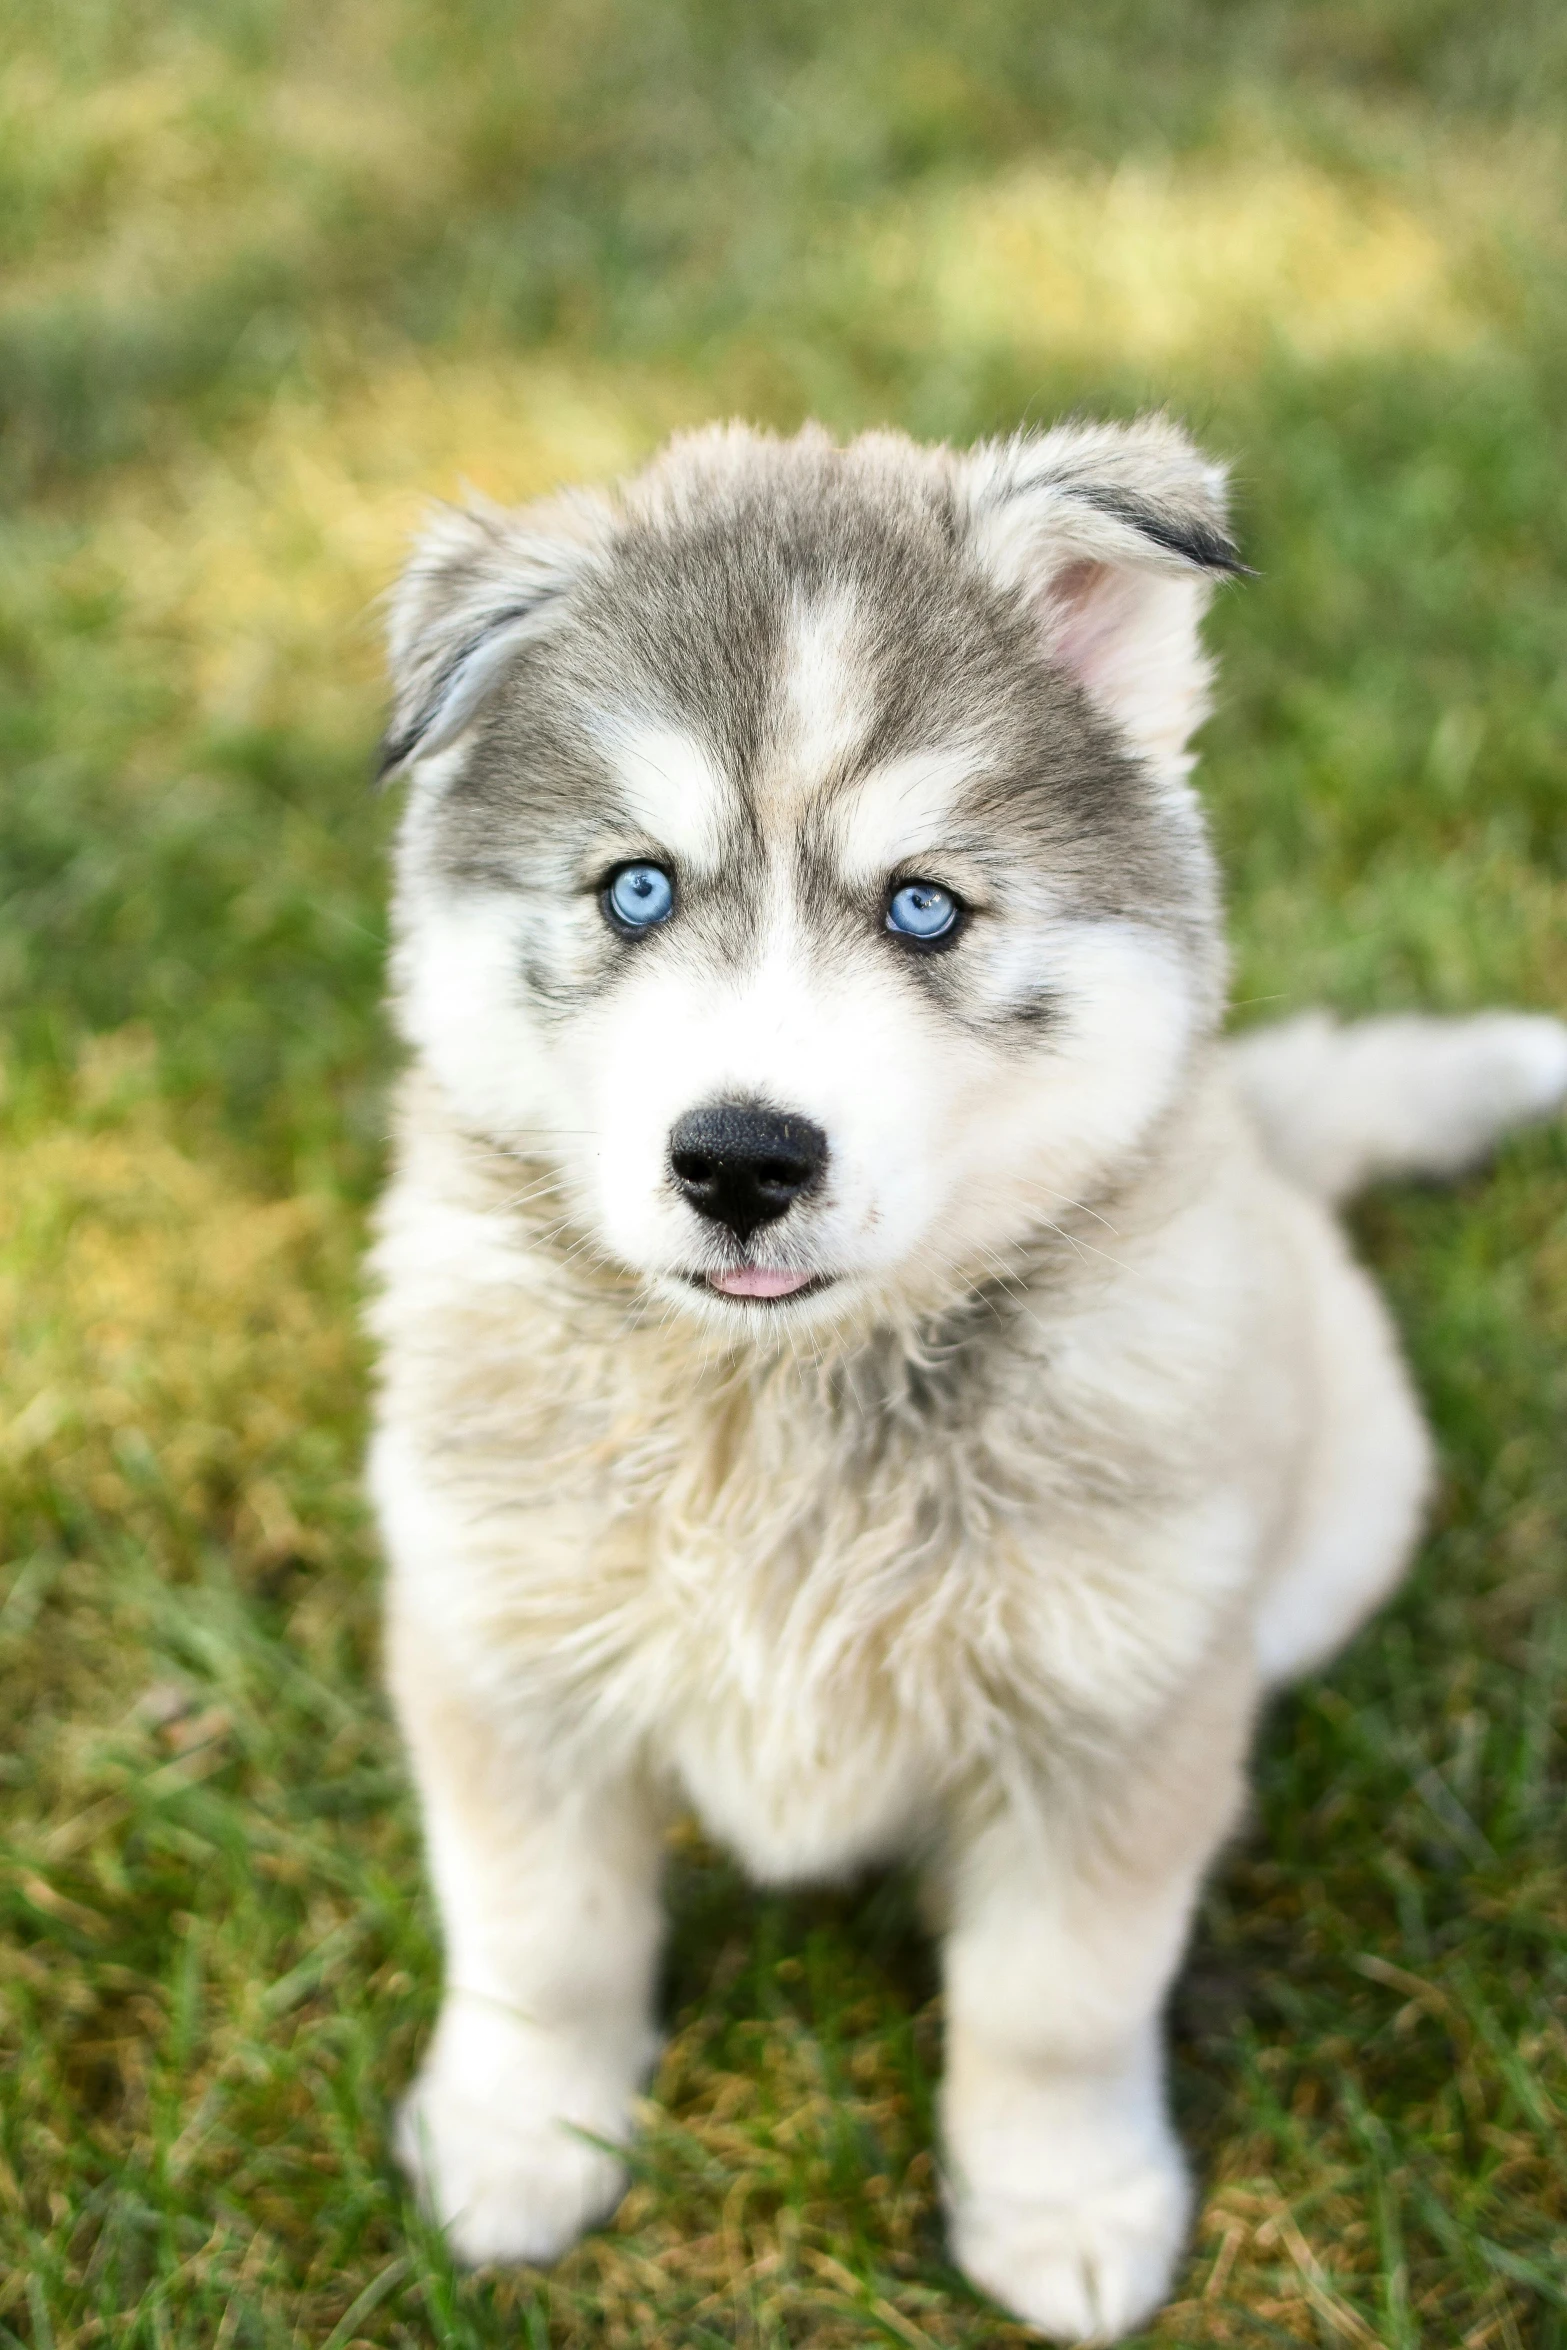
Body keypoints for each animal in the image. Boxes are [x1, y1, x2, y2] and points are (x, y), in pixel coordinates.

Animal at [371, 418, 1567, 2331]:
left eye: (923, 907)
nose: (739, 1158)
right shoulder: (502, 1650)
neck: (781, 1398)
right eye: (636, 887)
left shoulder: (1104, 1711)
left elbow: (1051, 2005)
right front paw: (518, 2144)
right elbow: (539, 1941)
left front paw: (1062, 2206)